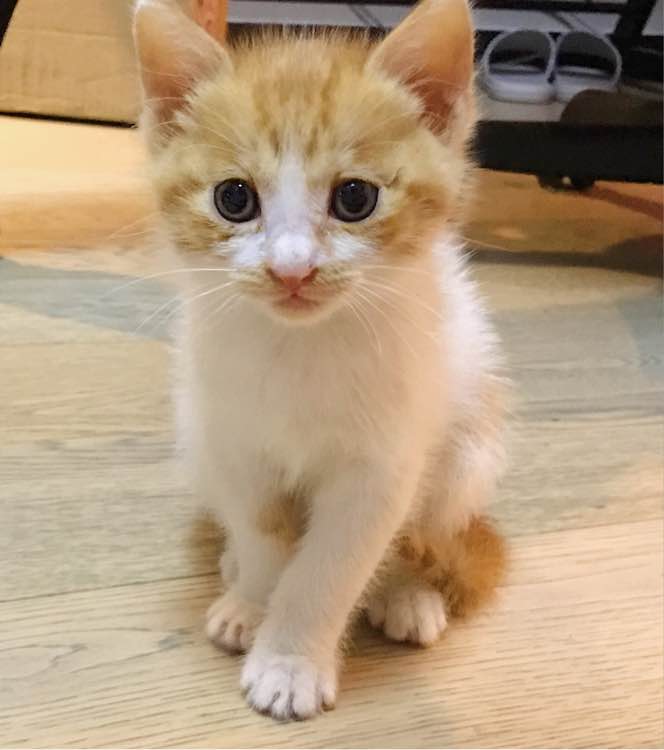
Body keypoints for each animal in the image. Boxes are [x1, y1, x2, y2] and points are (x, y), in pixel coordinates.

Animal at [134, 0, 508, 720]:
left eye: (355, 198)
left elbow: (331, 567)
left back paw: (407, 593)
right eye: (234, 198)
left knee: (429, 530)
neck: (300, 347)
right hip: (195, 432)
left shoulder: (379, 471)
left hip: (471, 445)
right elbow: (263, 534)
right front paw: (254, 602)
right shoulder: (237, 442)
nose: (292, 270)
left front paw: (290, 662)